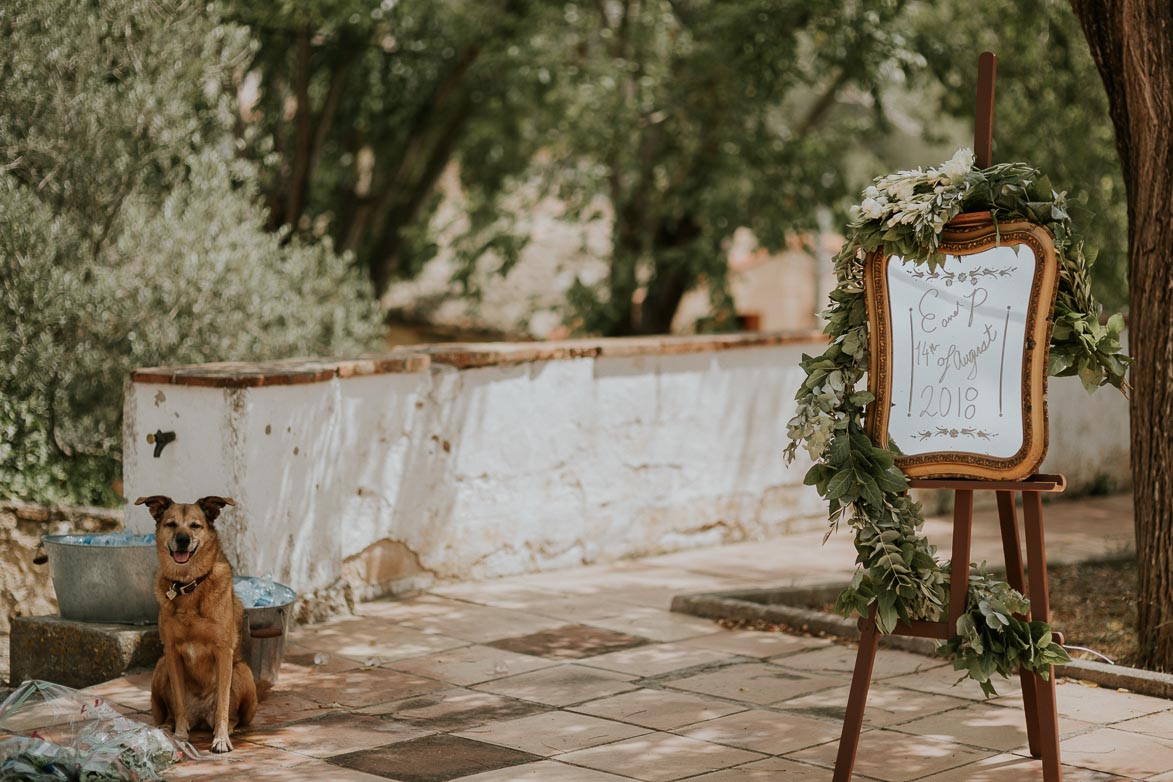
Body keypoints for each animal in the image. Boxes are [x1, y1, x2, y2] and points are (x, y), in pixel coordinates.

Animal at [136, 494, 256, 750]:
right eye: (171, 524)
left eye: (195, 526)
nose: (182, 539)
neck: (189, 585)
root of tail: (201, 718)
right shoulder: (171, 652)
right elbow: (179, 702)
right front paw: (181, 734)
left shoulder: (223, 652)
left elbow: (223, 704)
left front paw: (221, 739)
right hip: (161, 667)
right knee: (169, 713)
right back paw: (166, 728)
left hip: (243, 671)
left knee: (234, 715)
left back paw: (229, 728)